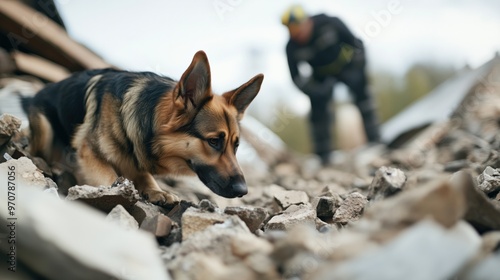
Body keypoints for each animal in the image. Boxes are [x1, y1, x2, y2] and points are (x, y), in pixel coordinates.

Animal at [24, 50, 266, 205]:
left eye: (236, 146)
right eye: (214, 141)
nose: (243, 191)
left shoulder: (136, 159)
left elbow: (144, 175)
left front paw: (156, 191)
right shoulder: (88, 153)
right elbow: (110, 177)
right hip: (45, 127)